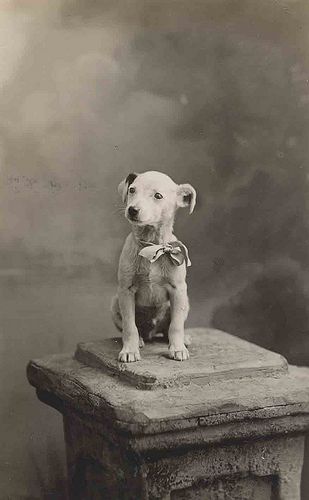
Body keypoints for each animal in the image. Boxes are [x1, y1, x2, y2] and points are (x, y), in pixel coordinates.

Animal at [112, 170, 196, 362]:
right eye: (132, 190)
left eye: (158, 196)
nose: (132, 209)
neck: (151, 247)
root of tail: (151, 332)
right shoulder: (126, 291)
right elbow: (129, 326)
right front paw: (129, 350)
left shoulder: (178, 290)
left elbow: (176, 326)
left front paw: (177, 348)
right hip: (115, 303)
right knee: (131, 327)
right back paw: (140, 340)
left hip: (185, 303)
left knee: (169, 328)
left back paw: (181, 340)